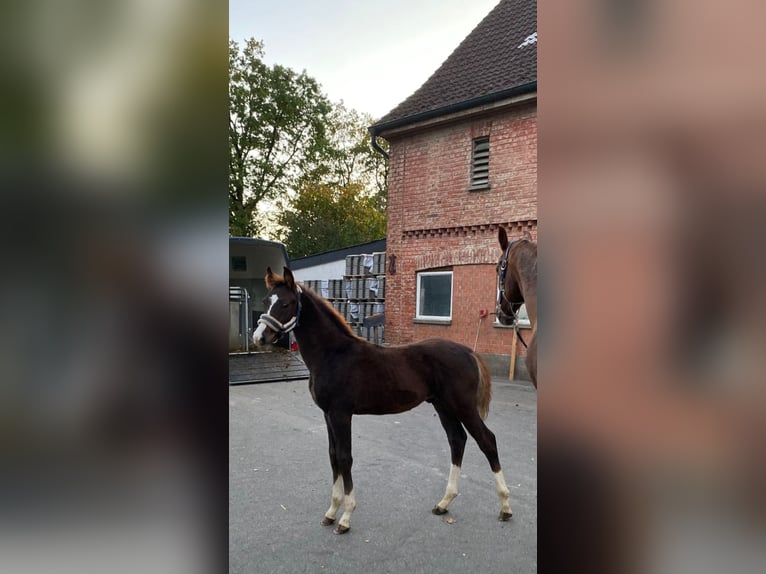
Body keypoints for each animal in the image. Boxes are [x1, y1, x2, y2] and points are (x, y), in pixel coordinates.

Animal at [255, 268, 512, 536]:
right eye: (266, 301)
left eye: (286, 303)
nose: (259, 337)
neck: (333, 355)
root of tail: (468, 352)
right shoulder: (327, 415)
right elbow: (333, 456)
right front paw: (331, 512)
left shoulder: (340, 413)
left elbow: (345, 457)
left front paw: (345, 517)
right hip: (443, 406)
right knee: (457, 440)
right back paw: (444, 503)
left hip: (463, 406)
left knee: (487, 441)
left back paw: (505, 507)